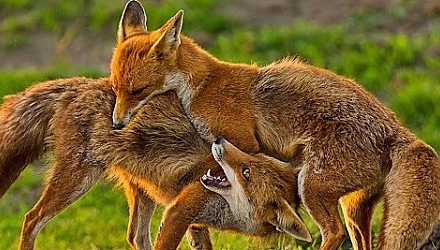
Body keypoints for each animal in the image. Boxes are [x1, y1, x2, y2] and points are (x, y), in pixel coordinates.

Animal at [0, 77, 312, 249]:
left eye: (247, 170)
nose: (220, 141)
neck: (228, 212)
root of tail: (82, 84)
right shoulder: (181, 209)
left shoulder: (192, 217)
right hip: (77, 180)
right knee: (31, 219)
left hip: (142, 190)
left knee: (135, 237)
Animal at [111, 0, 440, 249]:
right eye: (116, 88)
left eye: (137, 91)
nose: (116, 124)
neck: (202, 86)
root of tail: (399, 130)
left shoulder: (242, 141)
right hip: (353, 204)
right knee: (359, 236)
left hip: (312, 186)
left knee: (333, 232)